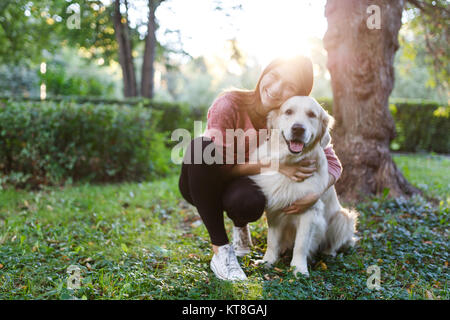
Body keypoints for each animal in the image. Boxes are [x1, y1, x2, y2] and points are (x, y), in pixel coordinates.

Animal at [250, 96, 358, 276]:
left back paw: (329, 253)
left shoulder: (309, 210)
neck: (291, 162)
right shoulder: (274, 207)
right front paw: (268, 261)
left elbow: (301, 244)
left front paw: (299, 269)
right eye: (288, 112)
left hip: (344, 217)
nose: (298, 129)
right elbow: (272, 240)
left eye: (311, 115)